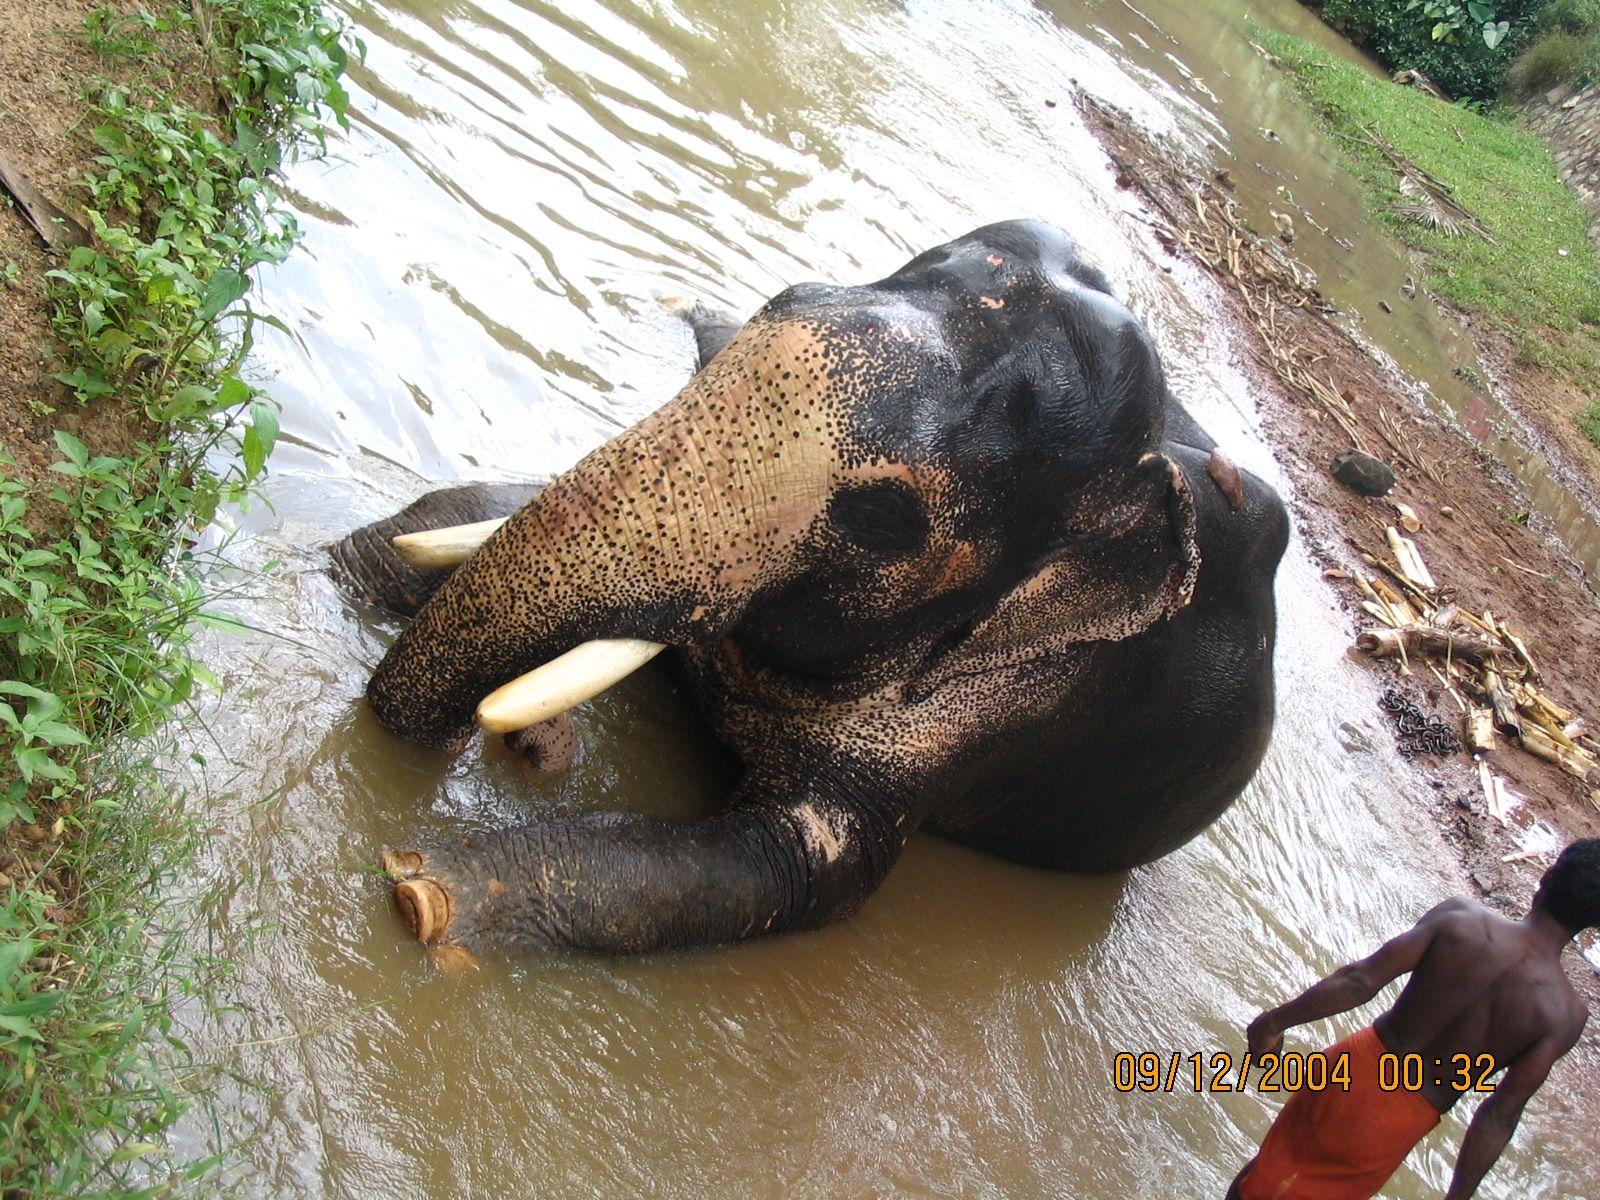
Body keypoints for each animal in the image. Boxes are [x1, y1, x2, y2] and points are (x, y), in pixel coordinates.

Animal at [330, 220, 1289, 958]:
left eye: (883, 515)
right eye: (782, 297)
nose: (453, 738)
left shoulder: (998, 709)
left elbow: (798, 874)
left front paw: (422, 895)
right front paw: (360, 560)